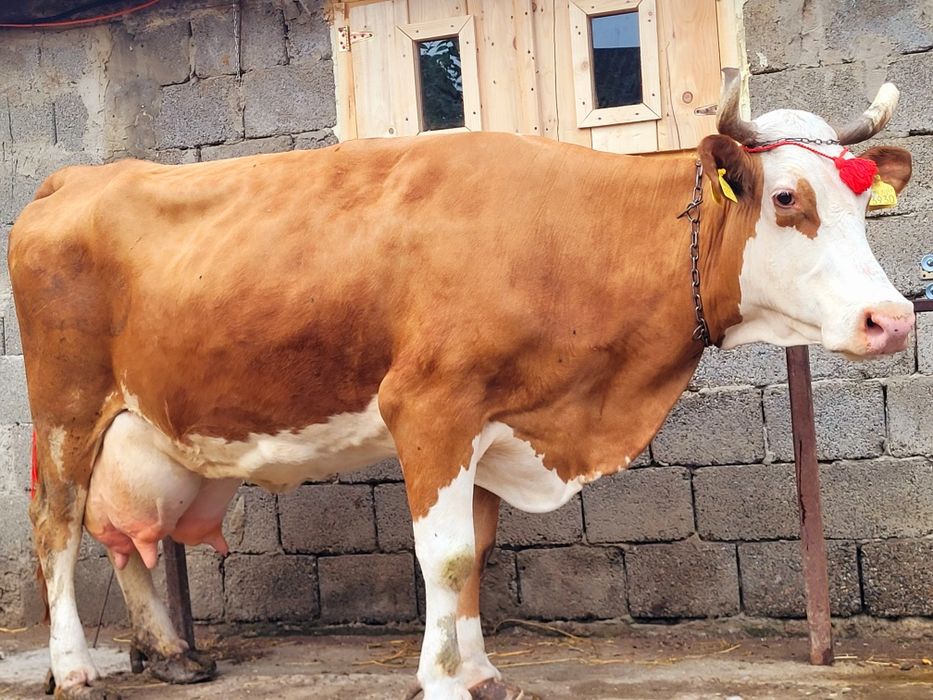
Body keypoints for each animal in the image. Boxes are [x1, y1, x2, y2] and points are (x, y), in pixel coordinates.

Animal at [8, 69, 914, 699]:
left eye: (865, 205)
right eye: (788, 196)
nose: (892, 319)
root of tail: (76, 178)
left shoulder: (489, 421)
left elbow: (473, 550)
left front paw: (477, 670)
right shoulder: (430, 407)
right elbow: (441, 557)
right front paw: (441, 679)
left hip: (134, 425)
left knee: (122, 535)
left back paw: (168, 653)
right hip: (66, 409)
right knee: (56, 529)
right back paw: (73, 667)